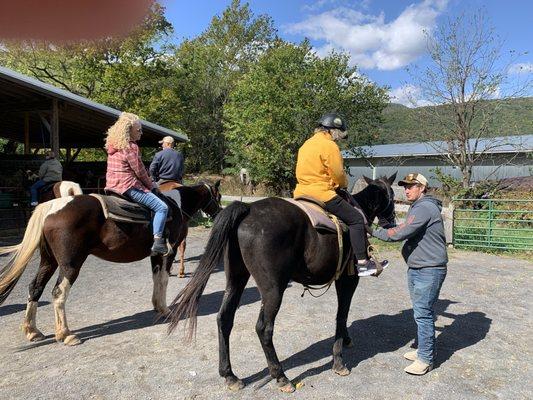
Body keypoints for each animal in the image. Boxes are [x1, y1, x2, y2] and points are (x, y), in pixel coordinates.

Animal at [0, 183, 220, 346]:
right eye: (217, 196)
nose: (218, 212)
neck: (175, 206)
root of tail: (53, 207)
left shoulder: (156, 254)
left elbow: (156, 278)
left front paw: (157, 306)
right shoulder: (170, 251)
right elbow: (164, 279)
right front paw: (166, 310)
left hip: (49, 261)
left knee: (35, 287)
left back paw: (33, 331)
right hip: (70, 264)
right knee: (58, 293)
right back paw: (66, 334)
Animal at [168, 173, 396, 392]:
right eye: (391, 195)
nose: (392, 223)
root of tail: (248, 209)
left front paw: (346, 341)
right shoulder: (348, 280)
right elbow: (342, 316)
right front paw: (339, 361)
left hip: (236, 279)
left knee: (224, 319)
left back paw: (230, 375)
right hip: (273, 289)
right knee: (263, 328)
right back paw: (280, 376)